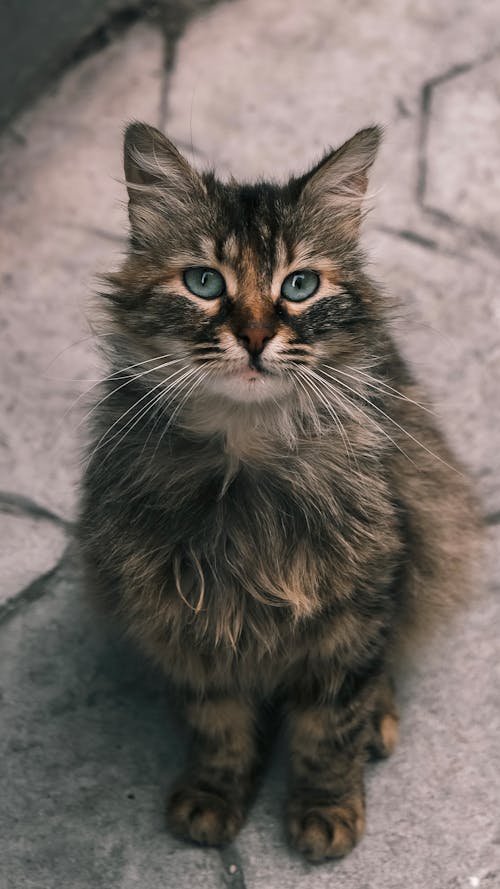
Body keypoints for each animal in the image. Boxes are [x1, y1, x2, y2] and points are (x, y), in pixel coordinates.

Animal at [77, 121, 476, 856]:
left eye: (300, 285)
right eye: (204, 281)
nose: (257, 337)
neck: (245, 455)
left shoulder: (358, 606)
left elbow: (330, 724)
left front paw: (327, 809)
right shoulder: (189, 611)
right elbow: (218, 722)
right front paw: (213, 795)